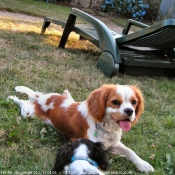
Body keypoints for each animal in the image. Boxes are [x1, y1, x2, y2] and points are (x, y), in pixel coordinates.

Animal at [7, 84, 154, 173]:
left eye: (134, 102)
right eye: (115, 102)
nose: (130, 111)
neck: (105, 125)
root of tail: (41, 101)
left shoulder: (114, 144)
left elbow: (130, 152)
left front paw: (144, 165)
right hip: (28, 113)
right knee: (23, 102)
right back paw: (12, 97)